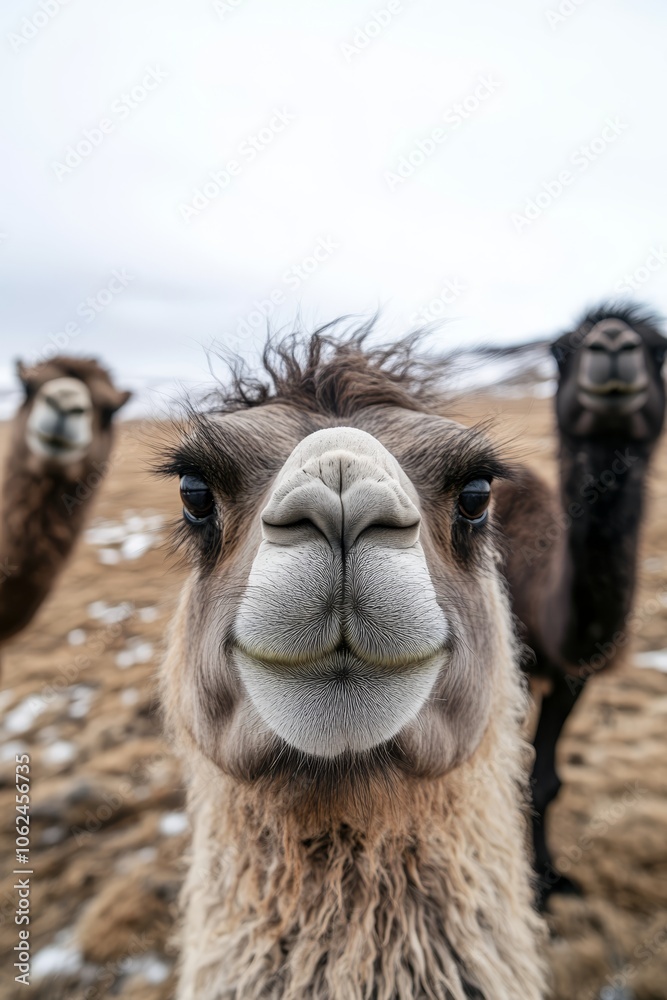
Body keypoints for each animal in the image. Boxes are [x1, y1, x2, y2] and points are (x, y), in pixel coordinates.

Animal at [494, 303, 667, 903]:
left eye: (660, 348)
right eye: (560, 349)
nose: (612, 343)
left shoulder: (576, 674)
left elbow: (546, 780)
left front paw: (551, 878)